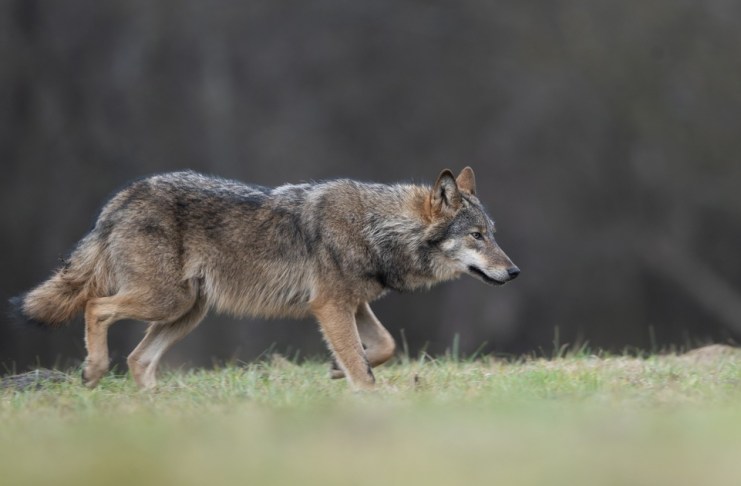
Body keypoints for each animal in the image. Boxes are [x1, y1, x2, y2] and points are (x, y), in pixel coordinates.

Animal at [12, 167, 519, 390]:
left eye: (493, 234)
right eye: (476, 236)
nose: (514, 271)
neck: (377, 228)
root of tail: (121, 198)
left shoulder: (352, 304)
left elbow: (384, 346)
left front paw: (337, 368)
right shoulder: (330, 306)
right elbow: (365, 366)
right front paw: (363, 387)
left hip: (187, 312)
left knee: (138, 358)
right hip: (166, 301)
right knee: (95, 307)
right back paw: (94, 371)